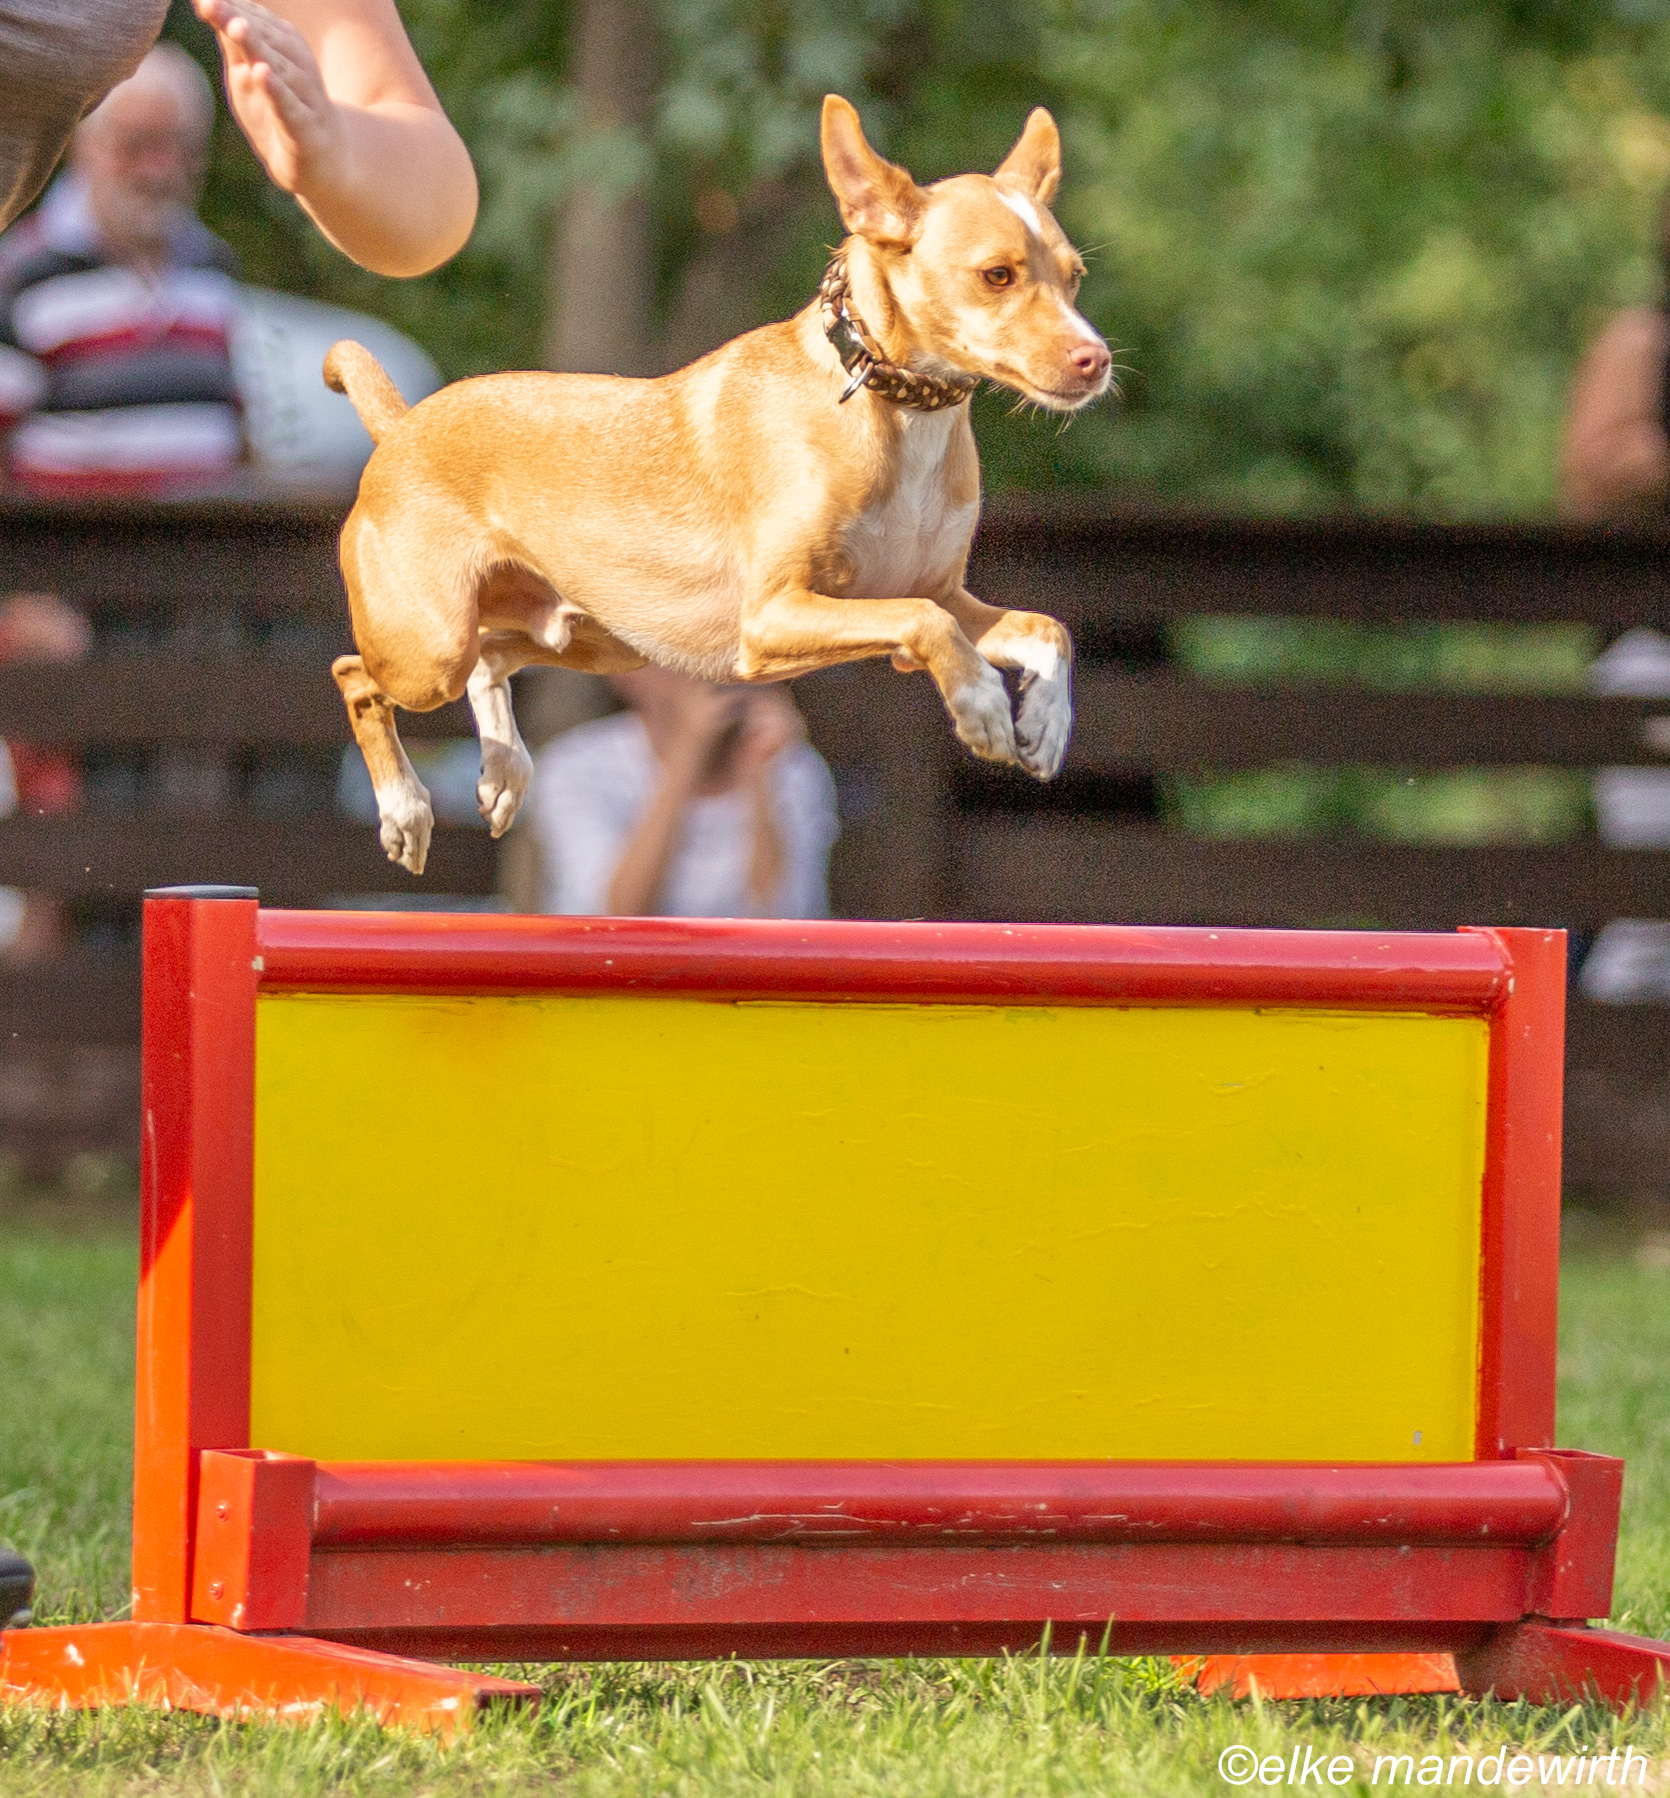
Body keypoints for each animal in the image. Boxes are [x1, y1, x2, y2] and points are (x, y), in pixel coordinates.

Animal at [324, 95, 1112, 875]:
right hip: (430, 648)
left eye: (1074, 277)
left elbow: (1047, 628)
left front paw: (1045, 722)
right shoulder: (774, 615)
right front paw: (981, 702)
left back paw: (504, 772)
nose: (1096, 359)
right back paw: (405, 809)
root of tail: (401, 428)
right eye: (997, 275)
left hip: (598, 636)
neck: (897, 411)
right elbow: (926, 621)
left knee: (491, 660)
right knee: (356, 674)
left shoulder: (944, 593)